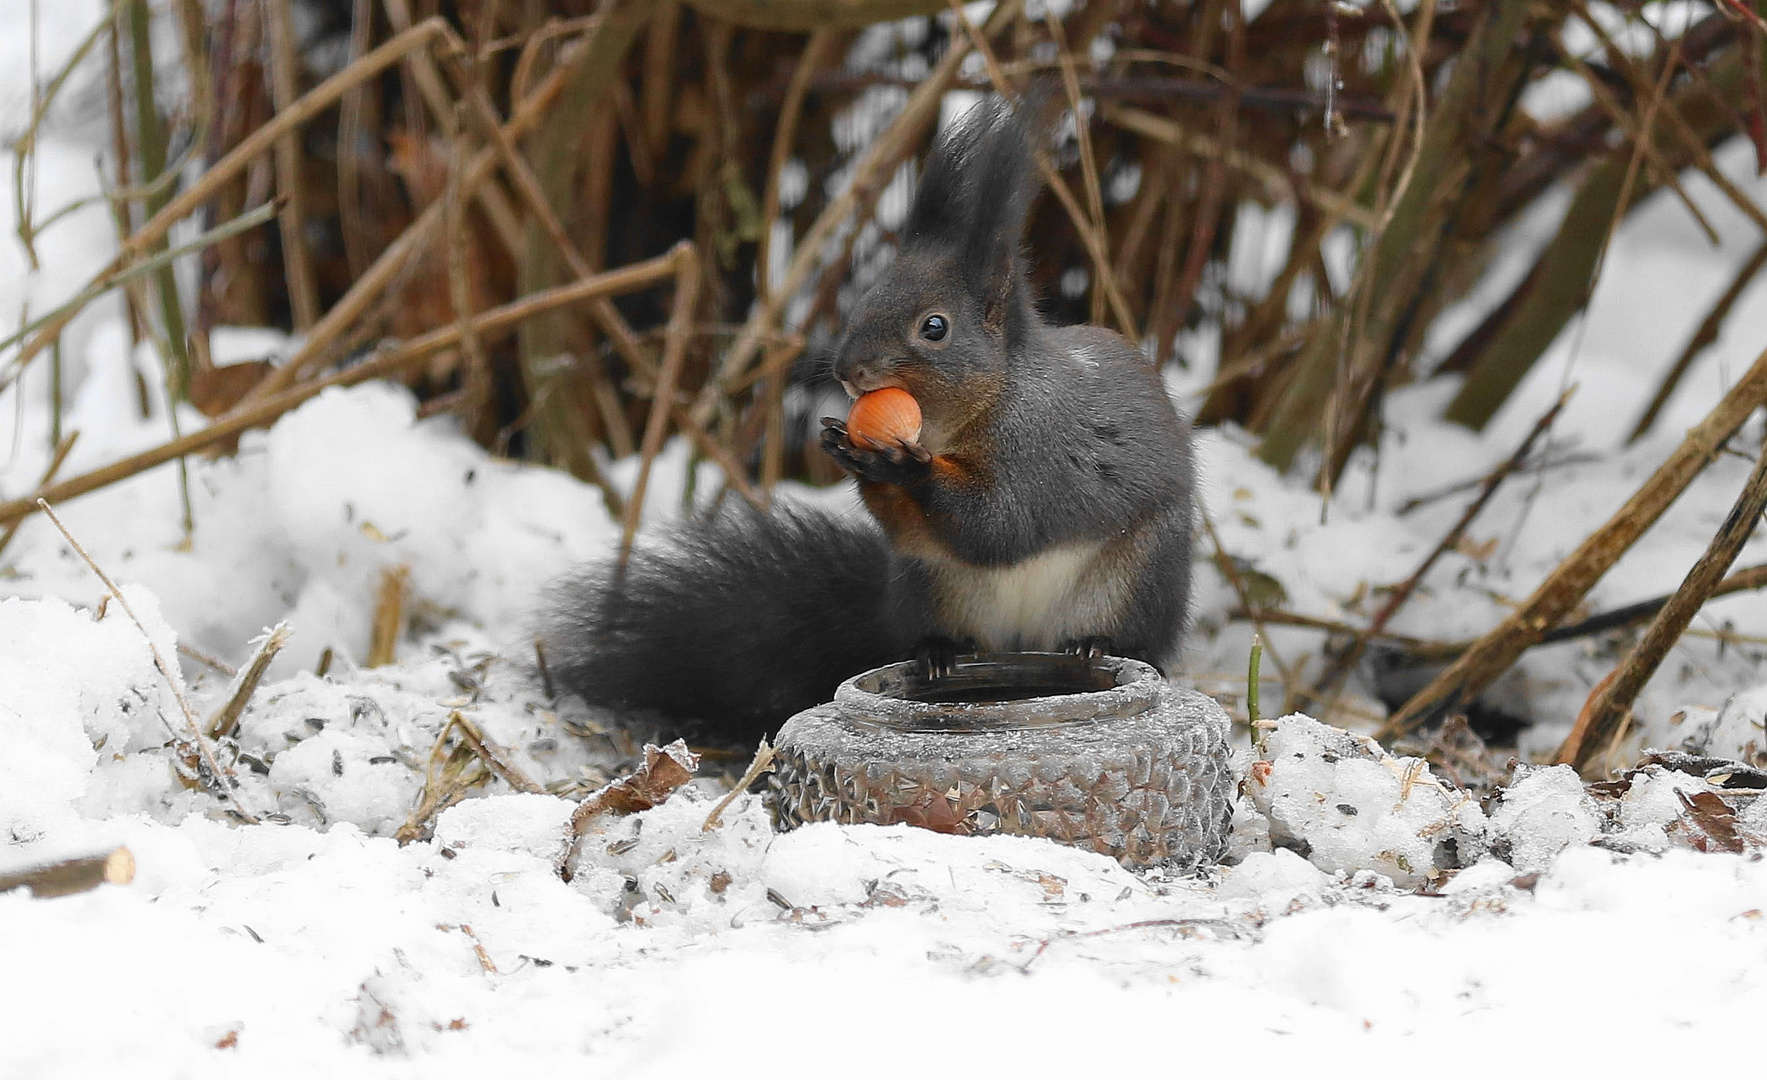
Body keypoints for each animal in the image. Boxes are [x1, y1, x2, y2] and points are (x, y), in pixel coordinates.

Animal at [540, 97, 1201, 742]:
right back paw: (939, 653)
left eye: (934, 327)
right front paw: (845, 450)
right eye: (866, 298)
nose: (847, 369)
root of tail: (1023, 643)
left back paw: (1094, 643)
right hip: (930, 587)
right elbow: (916, 529)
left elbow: (998, 525)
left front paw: (900, 465)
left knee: (1123, 632)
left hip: (1136, 578)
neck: (970, 414)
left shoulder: (1041, 452)